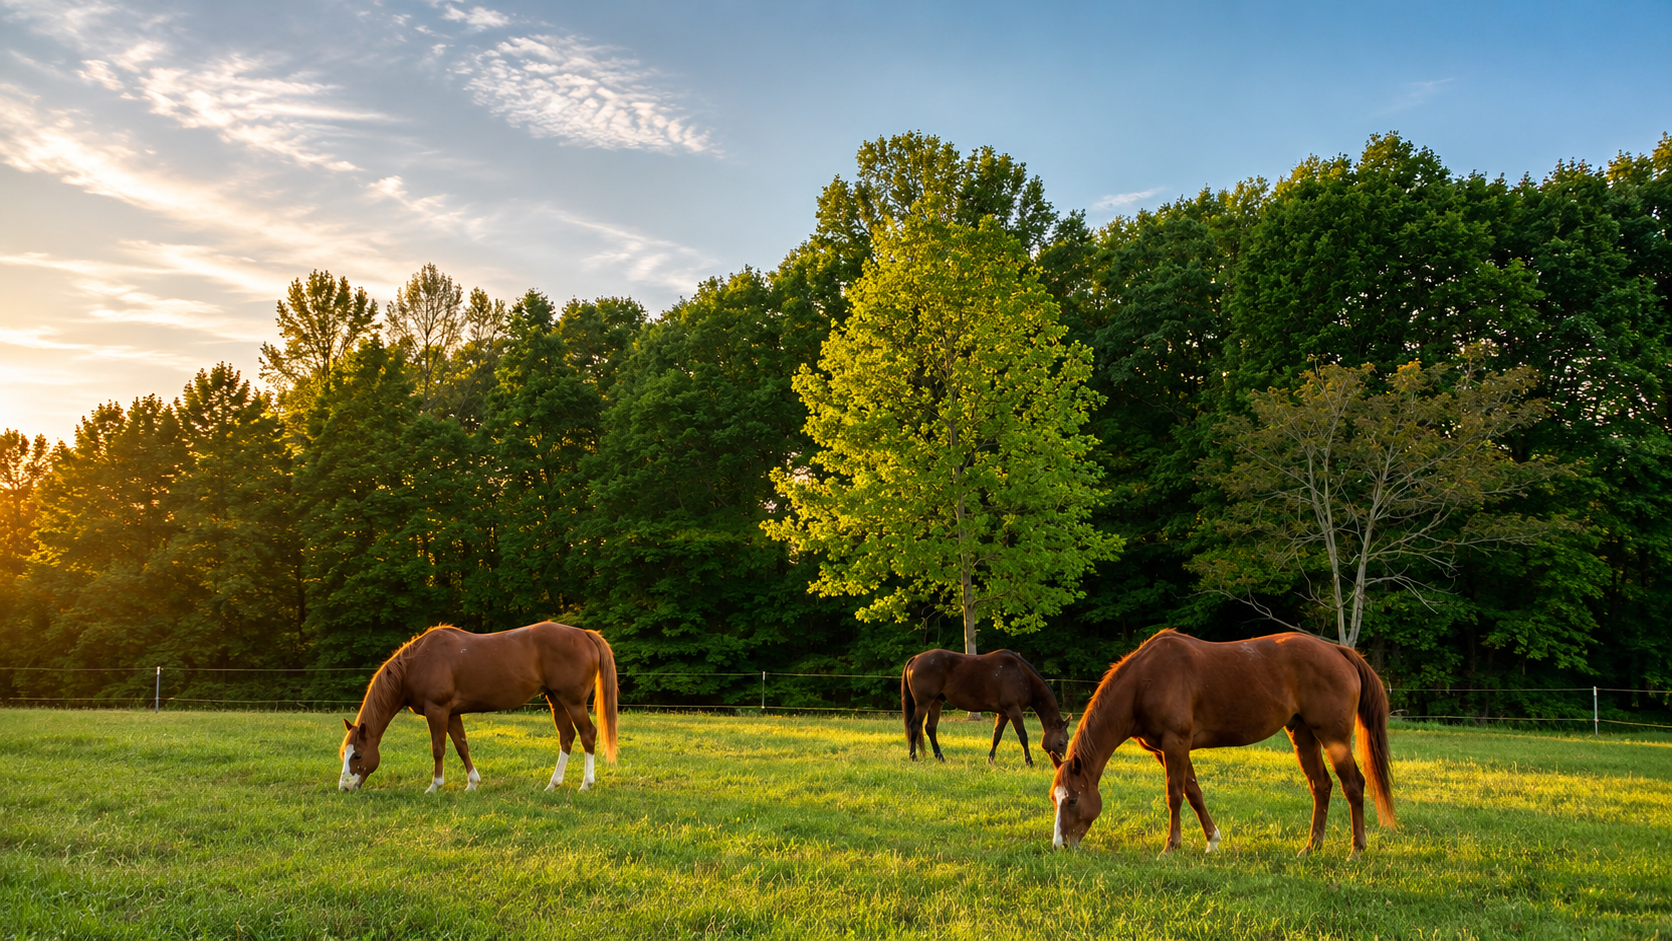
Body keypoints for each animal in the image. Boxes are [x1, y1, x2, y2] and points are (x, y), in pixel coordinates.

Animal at [338, 621, 618, 793]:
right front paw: (472, 783)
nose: (345, 788)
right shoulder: (452, 713)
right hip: (556, 700)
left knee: (587, 734)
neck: (416, 662)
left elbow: (438, 749)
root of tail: (584, 634)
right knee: (567, 737)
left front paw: (435, 786)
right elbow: (462, 746)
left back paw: (586, 783)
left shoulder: (437, 710)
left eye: (358, 755)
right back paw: (553, 784)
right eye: (344, 754)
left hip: (573, 701)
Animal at [901, 648, 1068, 766]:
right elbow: (1023, 736)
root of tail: (916, 658)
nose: (1062, 762)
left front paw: (990, 760)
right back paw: (913, 757)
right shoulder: (1014, 710)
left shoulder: (1004, 713)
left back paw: (940, 758)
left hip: (936, 703)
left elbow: (996, 736)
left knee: (930, 728)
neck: (1022, 675)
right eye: (1061, 742)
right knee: (914, 726)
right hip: (923, 703)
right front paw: (1029, 762)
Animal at [1049, 629, 1394, 857]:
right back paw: (1311, 847)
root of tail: (1338, 651)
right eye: (1055, 798)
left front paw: (1171, 848)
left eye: (1073, 800)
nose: (1060, 846)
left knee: (1353, 785)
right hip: (1303, 735)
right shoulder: (1167, 750)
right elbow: (1194, 793)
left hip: (1334, 739)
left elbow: (1175, 795)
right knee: (1321, 786)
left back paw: (1356, 850)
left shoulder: (1175, 743)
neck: (1145, 680)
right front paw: (1212, 841)